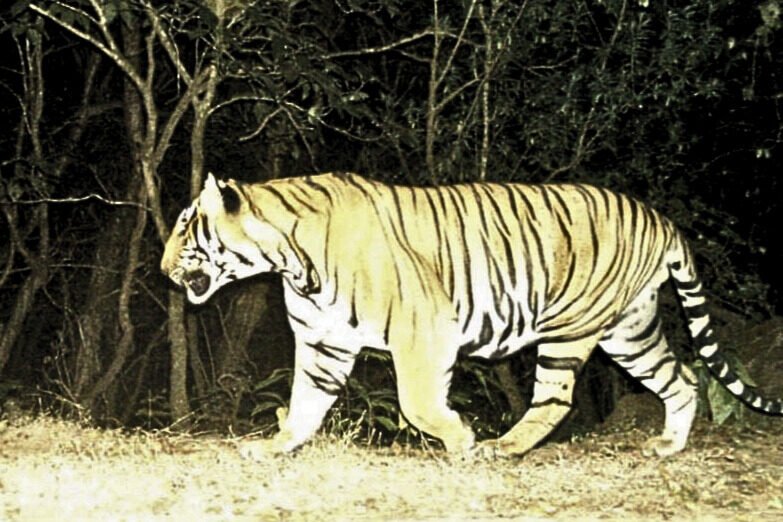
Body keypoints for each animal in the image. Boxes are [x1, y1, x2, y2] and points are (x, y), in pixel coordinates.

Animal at [160, 172, 783, 459]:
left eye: (186, 226)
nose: (164, 268)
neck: (292, 263)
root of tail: (662, 219)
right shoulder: (323, 344)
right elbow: (305, 404)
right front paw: (277, 446)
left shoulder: (424, 329)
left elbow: (417, 402)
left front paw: (458, 437)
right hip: (629, 331)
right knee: (681, 378)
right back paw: (670, 444)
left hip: (571, 330)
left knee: (555, 399)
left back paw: (500, 446)